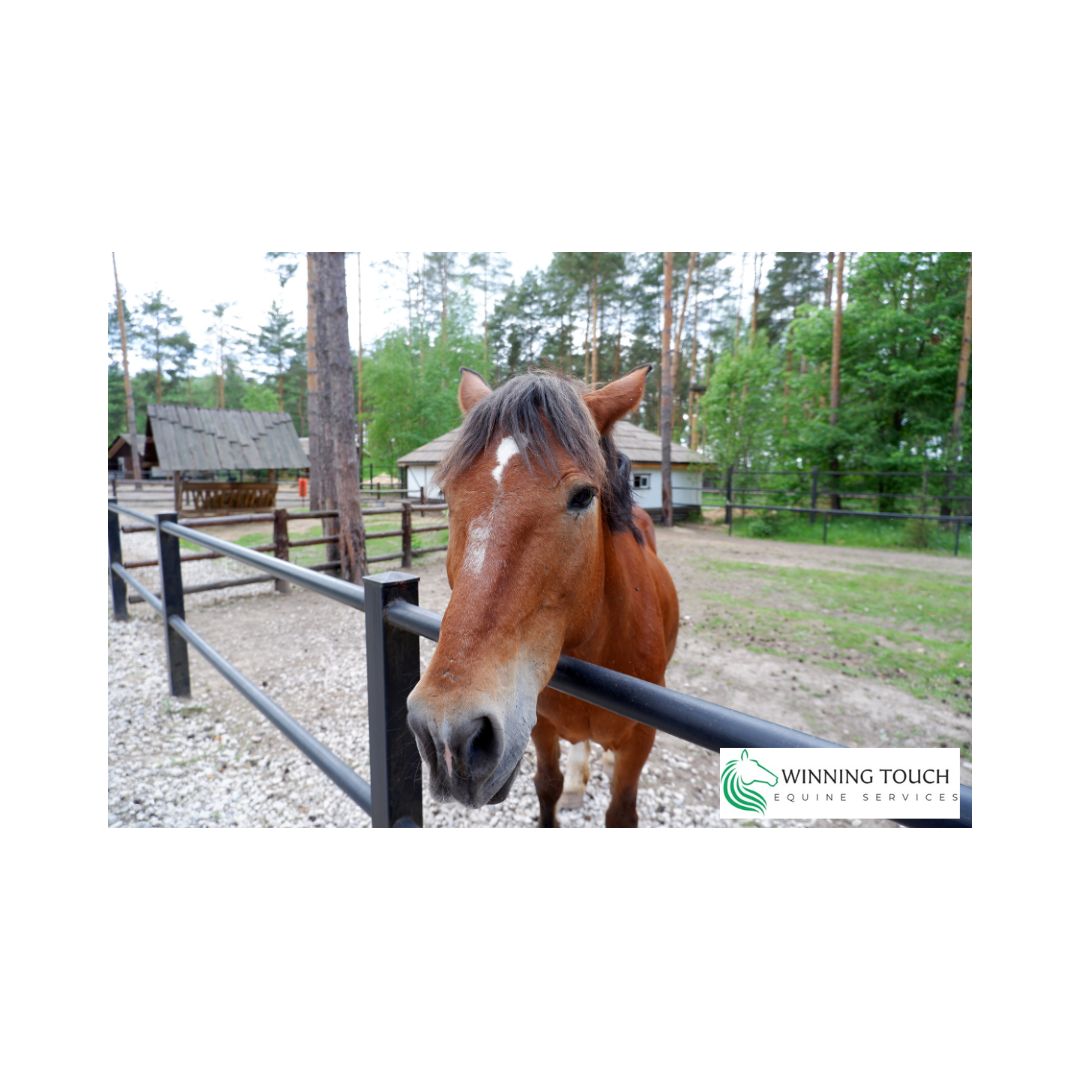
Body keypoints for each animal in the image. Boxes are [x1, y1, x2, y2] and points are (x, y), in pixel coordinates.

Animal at [406, 365, 680, 827]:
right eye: (446, 495)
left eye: (584, 495)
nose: (448, 734)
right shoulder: (539, 727)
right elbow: (547, 786)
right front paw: (564, 788)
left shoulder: (641, 738)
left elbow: (621, 811)